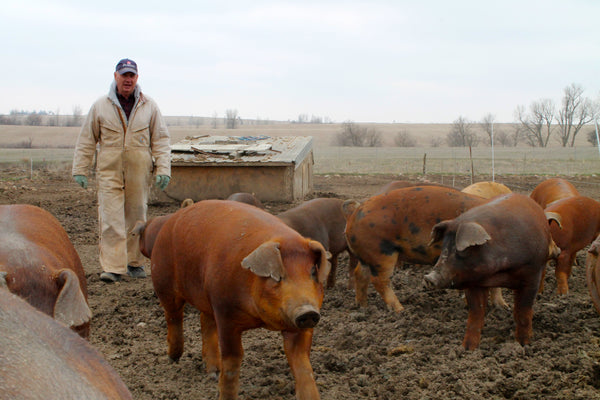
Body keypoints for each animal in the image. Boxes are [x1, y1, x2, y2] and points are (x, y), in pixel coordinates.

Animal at [148, 198, 330, 398]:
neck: (259, 319)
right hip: (163, 280)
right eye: (279, 276)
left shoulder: (299, 326)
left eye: (312, 272)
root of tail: (175, 217)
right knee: (173, 316)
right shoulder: (225, 312)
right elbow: (232, 360)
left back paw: (212, 373)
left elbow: (302, 364)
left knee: (205, 322)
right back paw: (173, 358)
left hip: (206, 299)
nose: (307, 312)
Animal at [342, 186, 488, 310]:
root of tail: (354, 213)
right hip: (381, 252)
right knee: (380, 281)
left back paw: (363, 307)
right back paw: (400, 310)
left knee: (360, 274)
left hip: (367, 255)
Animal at [424, 195, 560, 350]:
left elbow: (524, 312)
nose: (428, 277)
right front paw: (467, 349)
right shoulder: (474, 283)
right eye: (443, 247)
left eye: (461, 251)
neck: (499, 271)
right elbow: (475, 316)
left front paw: (524, 344)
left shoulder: (533, 273)